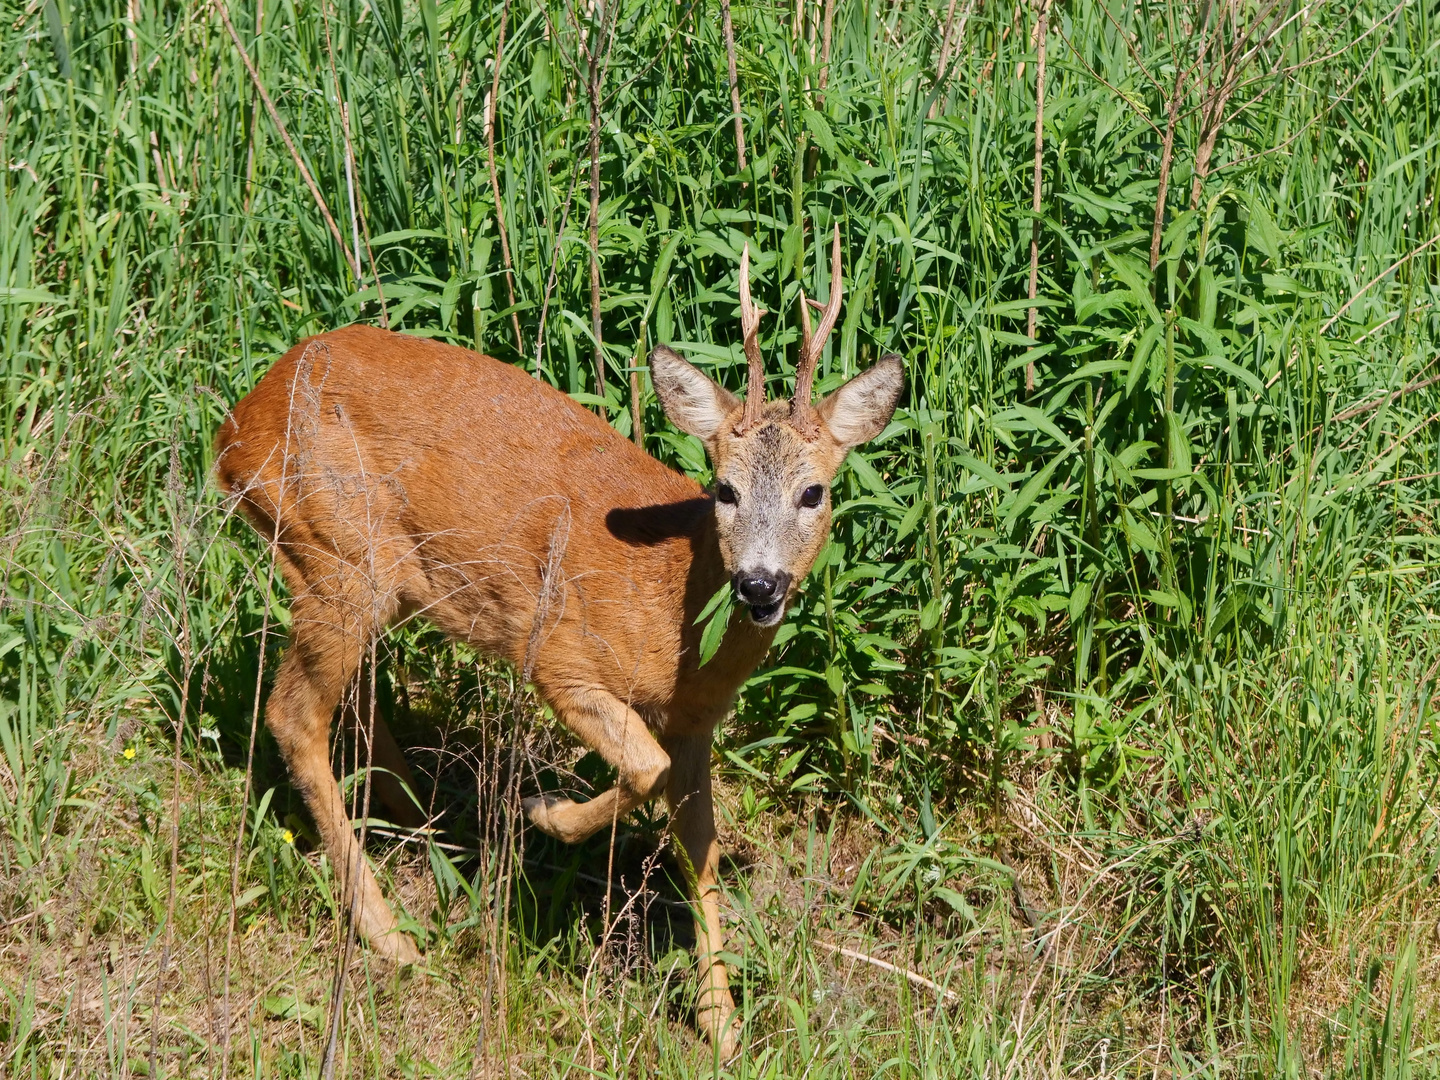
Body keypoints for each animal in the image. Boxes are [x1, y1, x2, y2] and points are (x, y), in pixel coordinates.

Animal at [216, 228, 898, 1059]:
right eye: (725, 488)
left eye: (814, 491)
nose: (759, 585)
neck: (667, 610)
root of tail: (234, 430)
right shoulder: (561, 658)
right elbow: (644, 767)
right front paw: (543, 813)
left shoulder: (699, 723)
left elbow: (699, 845)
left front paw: (723, 1025)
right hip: (335, 555)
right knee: (294, 716)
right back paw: (390, 934)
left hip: (368, 577)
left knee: (354, 696)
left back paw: (421, 815)